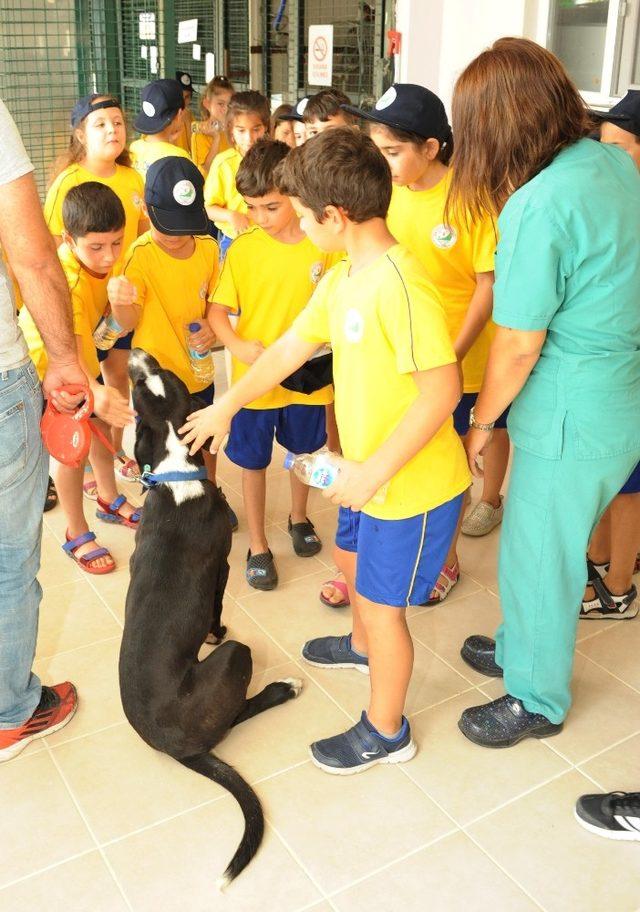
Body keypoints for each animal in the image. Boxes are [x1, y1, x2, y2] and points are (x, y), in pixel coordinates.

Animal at [122, 350, 302, 892]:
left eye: (158, 378)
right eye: (141, 385)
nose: (134, 353)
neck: (176, 470)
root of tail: (177, 748)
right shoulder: (221, 567)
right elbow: (218, 607)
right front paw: (212, 630)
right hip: (235, 661)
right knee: (239, 710)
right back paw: (281, 689)